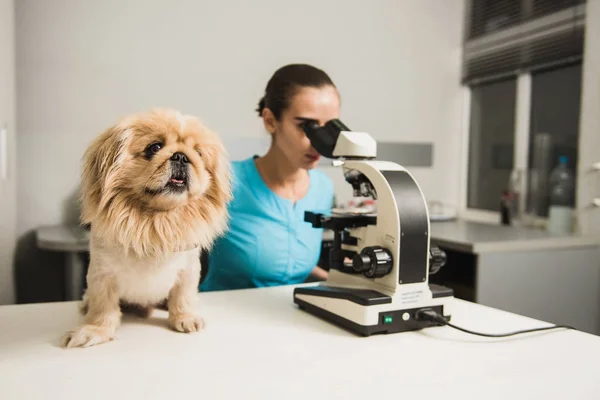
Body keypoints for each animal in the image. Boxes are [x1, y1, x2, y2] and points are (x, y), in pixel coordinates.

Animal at [60, 108, 230, 346]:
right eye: (154, 147)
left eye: (198, 153)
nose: (181, 156)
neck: (154, 221)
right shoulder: (101, 274)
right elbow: (102, 307)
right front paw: (94, 330)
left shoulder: (188, 270)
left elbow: (183, 296)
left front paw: (185, 318)